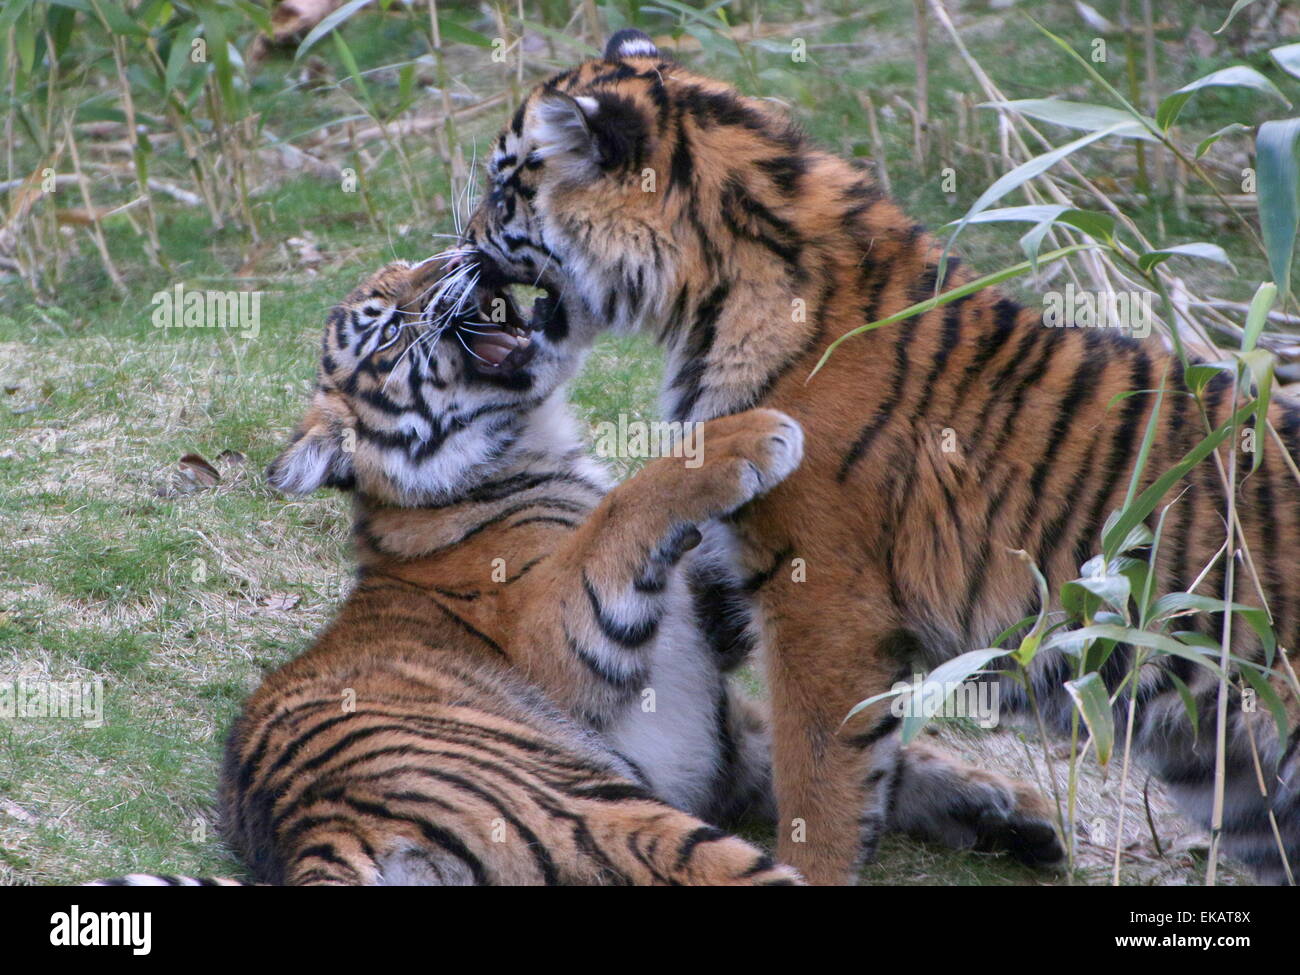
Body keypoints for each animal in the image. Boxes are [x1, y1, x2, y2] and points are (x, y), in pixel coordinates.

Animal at [94, 257, 806, 886]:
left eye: (408, 268)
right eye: (386, 326)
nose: (464, 253)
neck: (528, 445)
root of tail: (315, 831)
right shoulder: (552, 630)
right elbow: (626, 505)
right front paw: (752, 435)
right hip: (597, 804)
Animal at [456, 28, 1300, 885]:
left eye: (503, 190)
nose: (461, 247)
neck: (718, 282)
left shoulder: (823, 596)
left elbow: (818, 777)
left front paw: (814, 862)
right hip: (1234, 776)